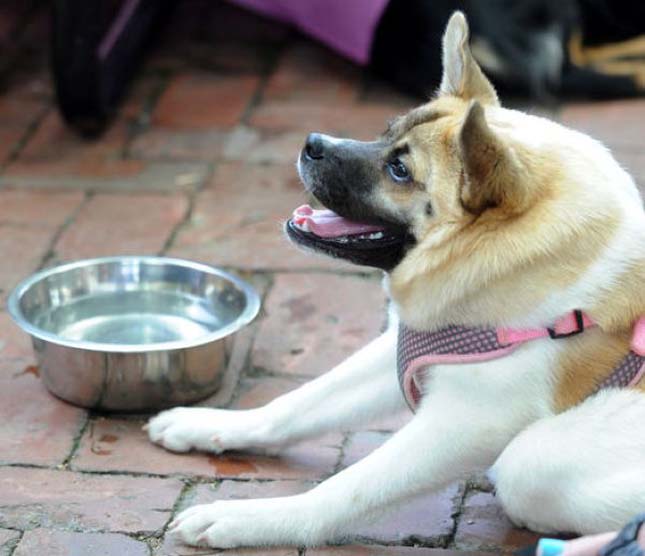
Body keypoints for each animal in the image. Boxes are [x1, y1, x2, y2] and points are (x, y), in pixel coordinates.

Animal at [146, 10, 644, 548]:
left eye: (400, 170)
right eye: (387, 133)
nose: (311, 143)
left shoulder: (464, 422)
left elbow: (347, 489)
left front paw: (249, 519)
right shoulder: (404, 348)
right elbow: (295, 404)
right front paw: (209, 424)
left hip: (538, 461)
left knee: (523, 471)